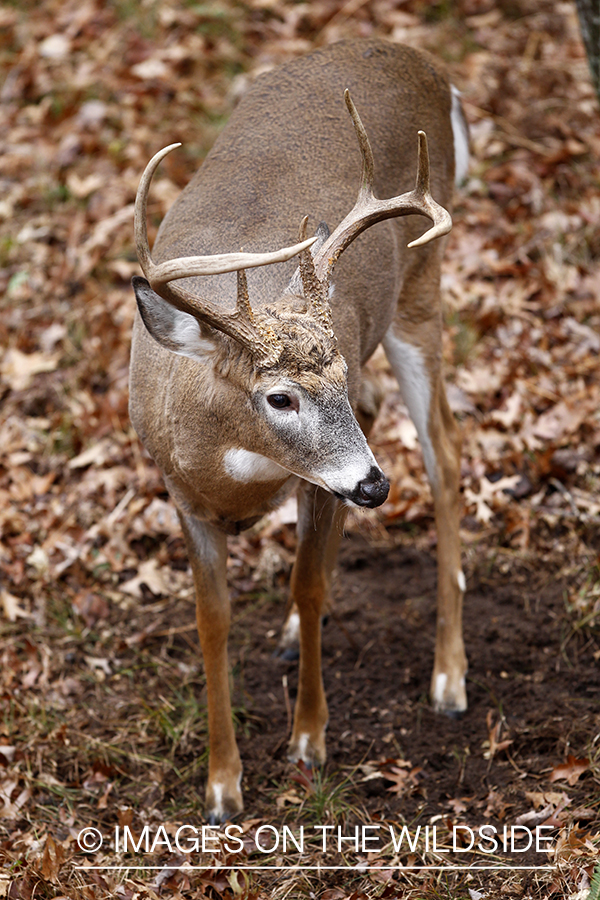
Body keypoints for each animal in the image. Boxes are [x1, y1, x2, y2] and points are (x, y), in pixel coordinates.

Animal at [130, 38, 468, 824]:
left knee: (445, 453)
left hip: (420, 289)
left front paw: (309, 739)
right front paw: (223, 787)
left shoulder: (321, 482)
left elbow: (310, 585)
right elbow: (212, 620)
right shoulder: (182, 497)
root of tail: (417, 59)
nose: (373, 485)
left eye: (330, 377)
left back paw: (449, 679)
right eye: (278, 397)